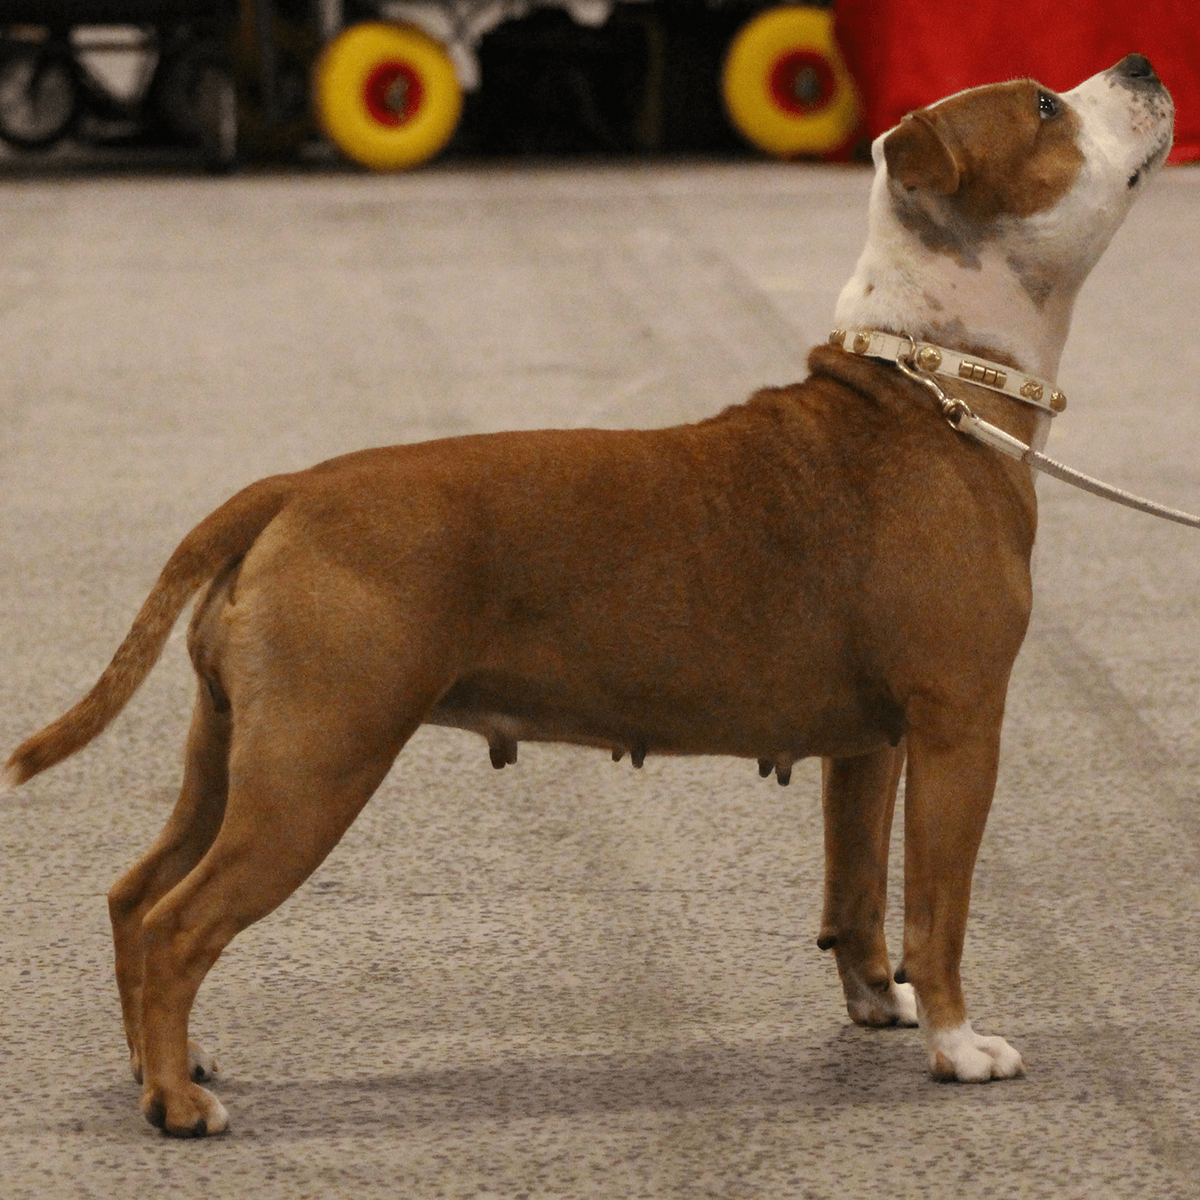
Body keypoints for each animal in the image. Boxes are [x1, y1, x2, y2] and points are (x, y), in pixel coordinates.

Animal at [2, 51, 1171, 1132]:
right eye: (1044, 108)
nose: (1144, 63)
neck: (934, 380)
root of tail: (289, 489)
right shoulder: (961, 727)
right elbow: (941, 905)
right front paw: (959, 1046)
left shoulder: (871, 746)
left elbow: (858, 890)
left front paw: (877, 1004)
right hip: (314, 769)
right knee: (178, 923)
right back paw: (177, 1105)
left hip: (233, 756)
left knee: (134, 895)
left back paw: (161, 1065)